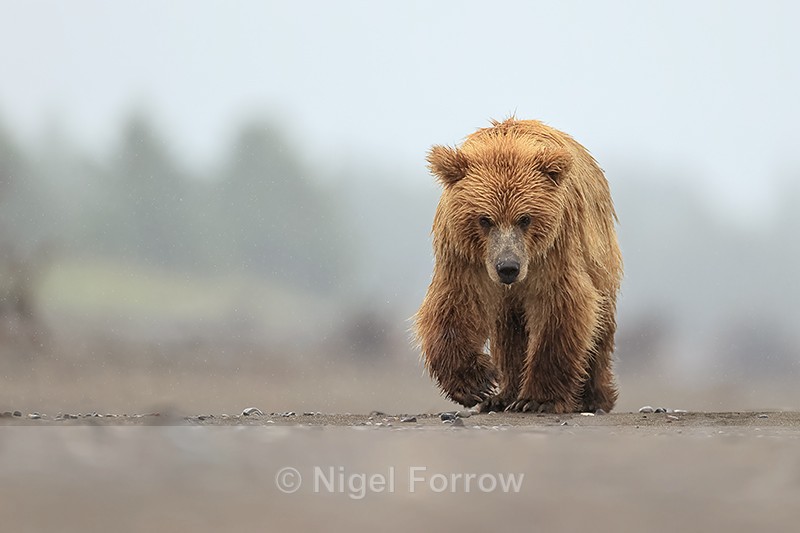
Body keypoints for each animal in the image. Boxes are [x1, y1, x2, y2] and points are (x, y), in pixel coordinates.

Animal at [415, 118, 622, 414]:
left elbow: (560, 308)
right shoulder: (465, 256)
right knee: (509, 334)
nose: (508, 268)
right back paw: (504, 395)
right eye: (484, 219)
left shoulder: (553, 251)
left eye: (525, 218)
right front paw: (477, 384)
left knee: (600, 323)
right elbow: (456, 305)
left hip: (599, 253)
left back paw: (594, 397)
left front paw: (537, 399)